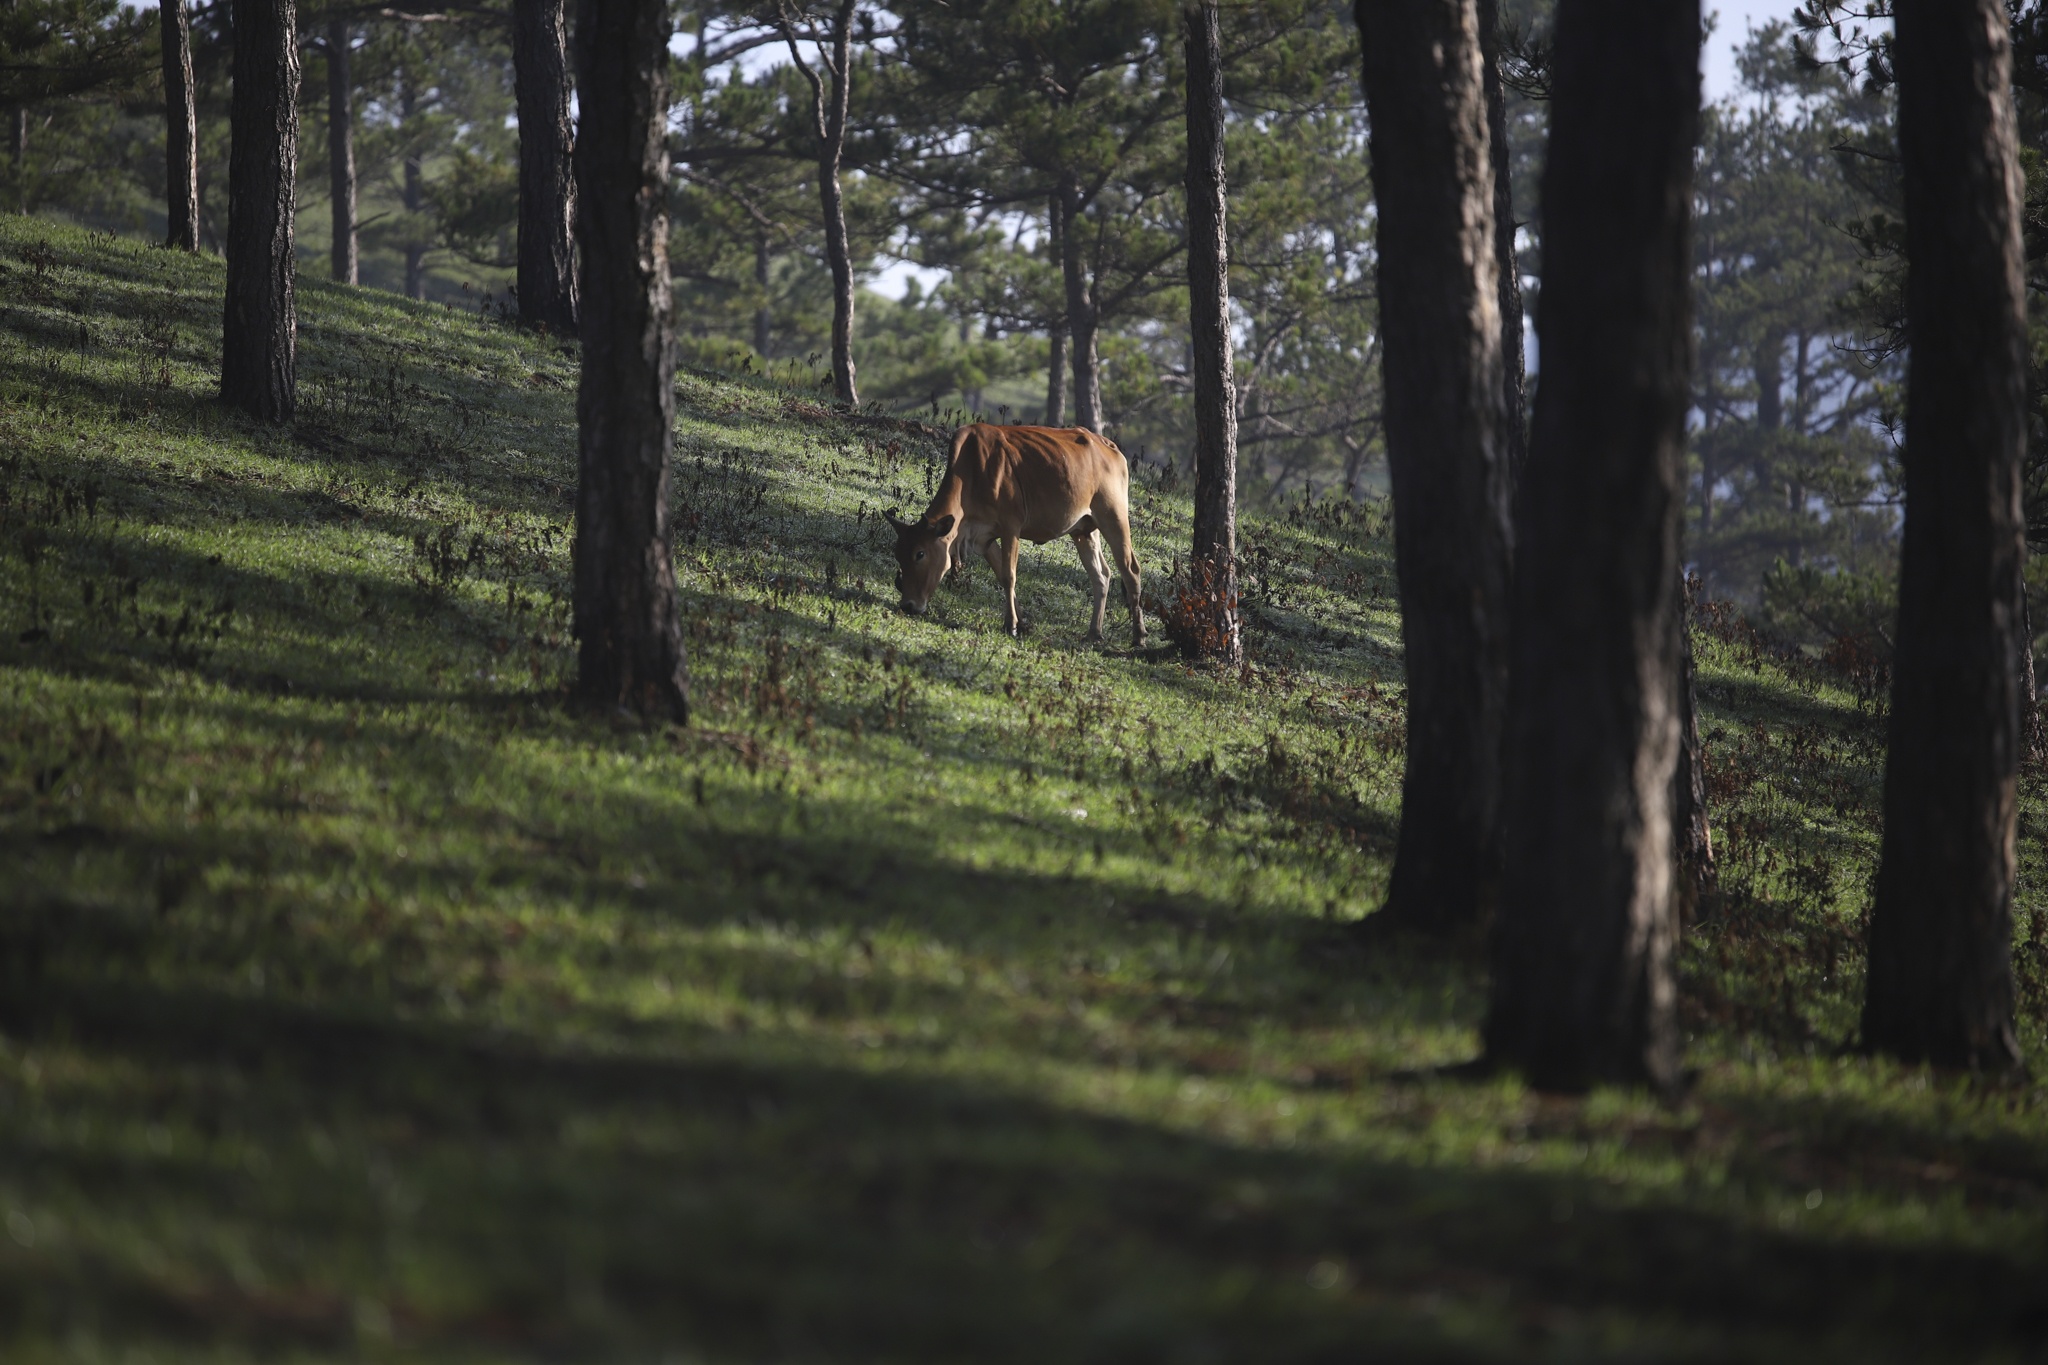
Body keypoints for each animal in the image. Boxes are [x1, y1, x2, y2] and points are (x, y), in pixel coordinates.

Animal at [892, 423, 1155, 642]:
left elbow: (1009, 576)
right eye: (898, 555)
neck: (970, 472)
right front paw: (1022, 623)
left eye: (920, 554)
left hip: (1114, 516)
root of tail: (1108, 444)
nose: (907, 605)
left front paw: (1011, 625)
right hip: (1084, 530)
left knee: (1130, 569)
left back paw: (1138, 635)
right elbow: (1001, 575)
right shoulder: (984, 538)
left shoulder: (1011, 528)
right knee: (1101, 575)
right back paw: (1094, 632)